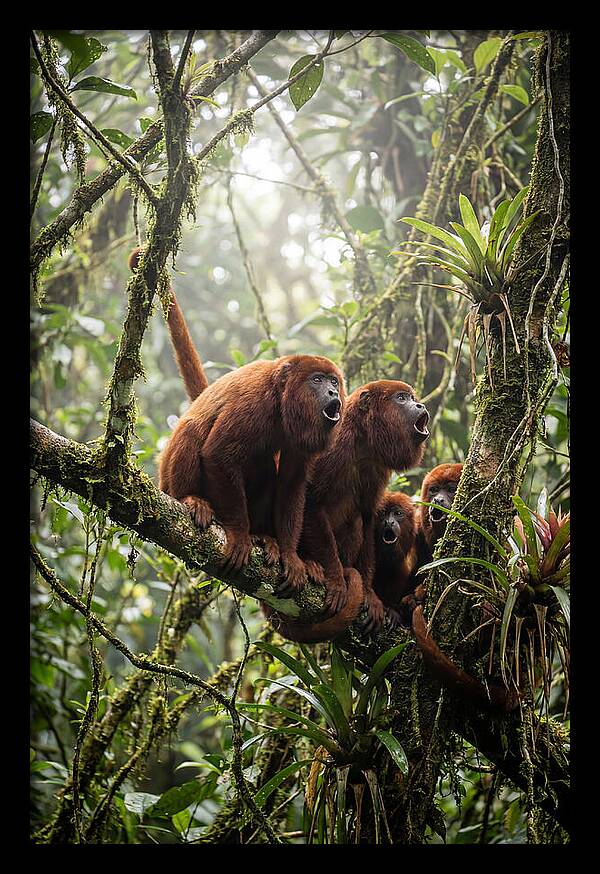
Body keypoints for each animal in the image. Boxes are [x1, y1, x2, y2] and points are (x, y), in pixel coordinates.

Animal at [128, 247, 346, 588]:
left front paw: (290, 555)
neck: (281, 401)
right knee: (192, 430)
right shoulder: (253, 402)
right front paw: (241, 535)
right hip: (168, 481)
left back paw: (265, 538)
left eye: (334, 381)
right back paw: (192, 501)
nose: (334, 392)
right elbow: (217, 453)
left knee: (266, 467)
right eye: (317, 381)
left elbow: (292, 483)